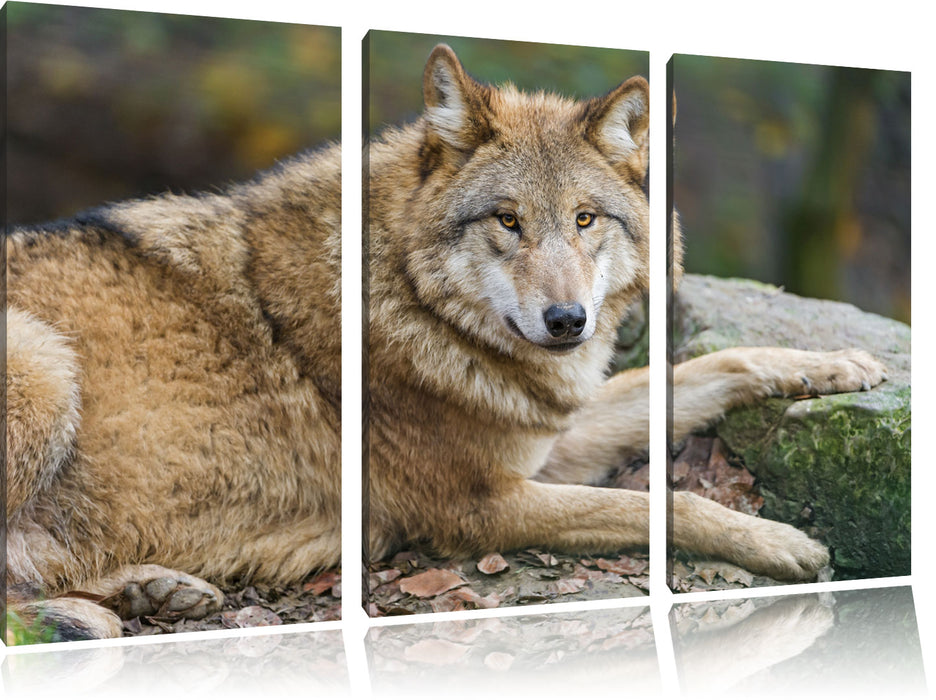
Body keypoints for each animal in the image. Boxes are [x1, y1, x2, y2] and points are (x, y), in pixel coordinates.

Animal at [364, 43, 884, 588]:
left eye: (584, 218)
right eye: (508, 220)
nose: (567, 320)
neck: (418, 305)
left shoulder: (546, 437)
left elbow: (718, 364)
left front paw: (833, 363)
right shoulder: (478, 505)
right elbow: (660, 503)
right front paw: (777, 540)